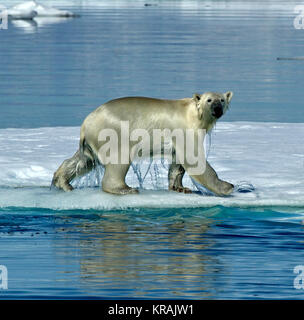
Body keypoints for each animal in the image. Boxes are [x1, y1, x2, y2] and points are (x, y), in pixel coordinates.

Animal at [51, 92, 233, 195]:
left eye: (222, 100)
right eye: (209, 100)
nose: (217, 109)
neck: (194, 114)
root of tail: (86, 122)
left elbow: (177, 164)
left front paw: (180, 188)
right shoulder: (184, 129)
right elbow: (194, 159)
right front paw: (227, 186)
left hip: (91, 141)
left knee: (83, 160)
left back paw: (63, 182)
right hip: (114, 132)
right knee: (118, 160)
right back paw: (126, 189)